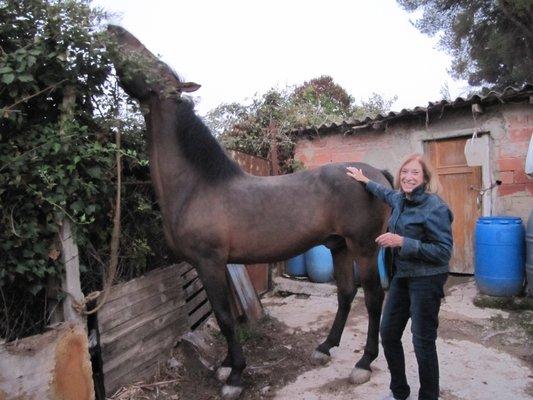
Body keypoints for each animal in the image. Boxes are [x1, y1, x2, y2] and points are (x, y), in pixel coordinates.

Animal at [107, 25, 390, 400]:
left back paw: (364, 363)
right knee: (346, 294)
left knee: (373, 298)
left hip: (365, 248)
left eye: (155, 64)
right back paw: (325, 347)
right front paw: (226, 365)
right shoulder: (212, 265)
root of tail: (375, 175)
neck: (198, 186)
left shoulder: (210, 262)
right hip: (339, 246)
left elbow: (226, 317)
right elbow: (221, 314)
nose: (113, 30)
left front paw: (236, 376)